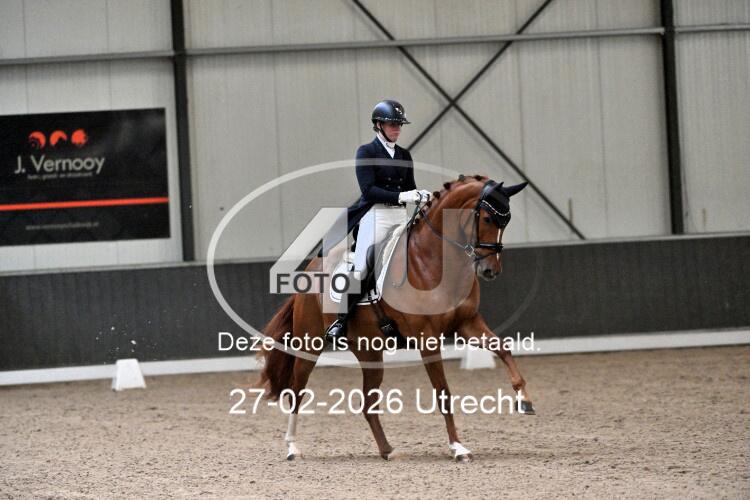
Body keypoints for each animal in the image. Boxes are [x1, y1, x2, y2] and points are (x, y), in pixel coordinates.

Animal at [257, 174, 535, 462]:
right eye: (488, 219)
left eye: (507, 221)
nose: (490, 270)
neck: (434, 260)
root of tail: (309, 270)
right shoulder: (428, 339)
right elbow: (443, 393)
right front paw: (458, 448)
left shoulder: (467, 323)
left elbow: (503, 348)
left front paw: (524, 399)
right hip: (309, 344)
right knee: (296, 391)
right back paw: (292, 448)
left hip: (369, 352)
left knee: (367, 404)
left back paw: (387, 450)